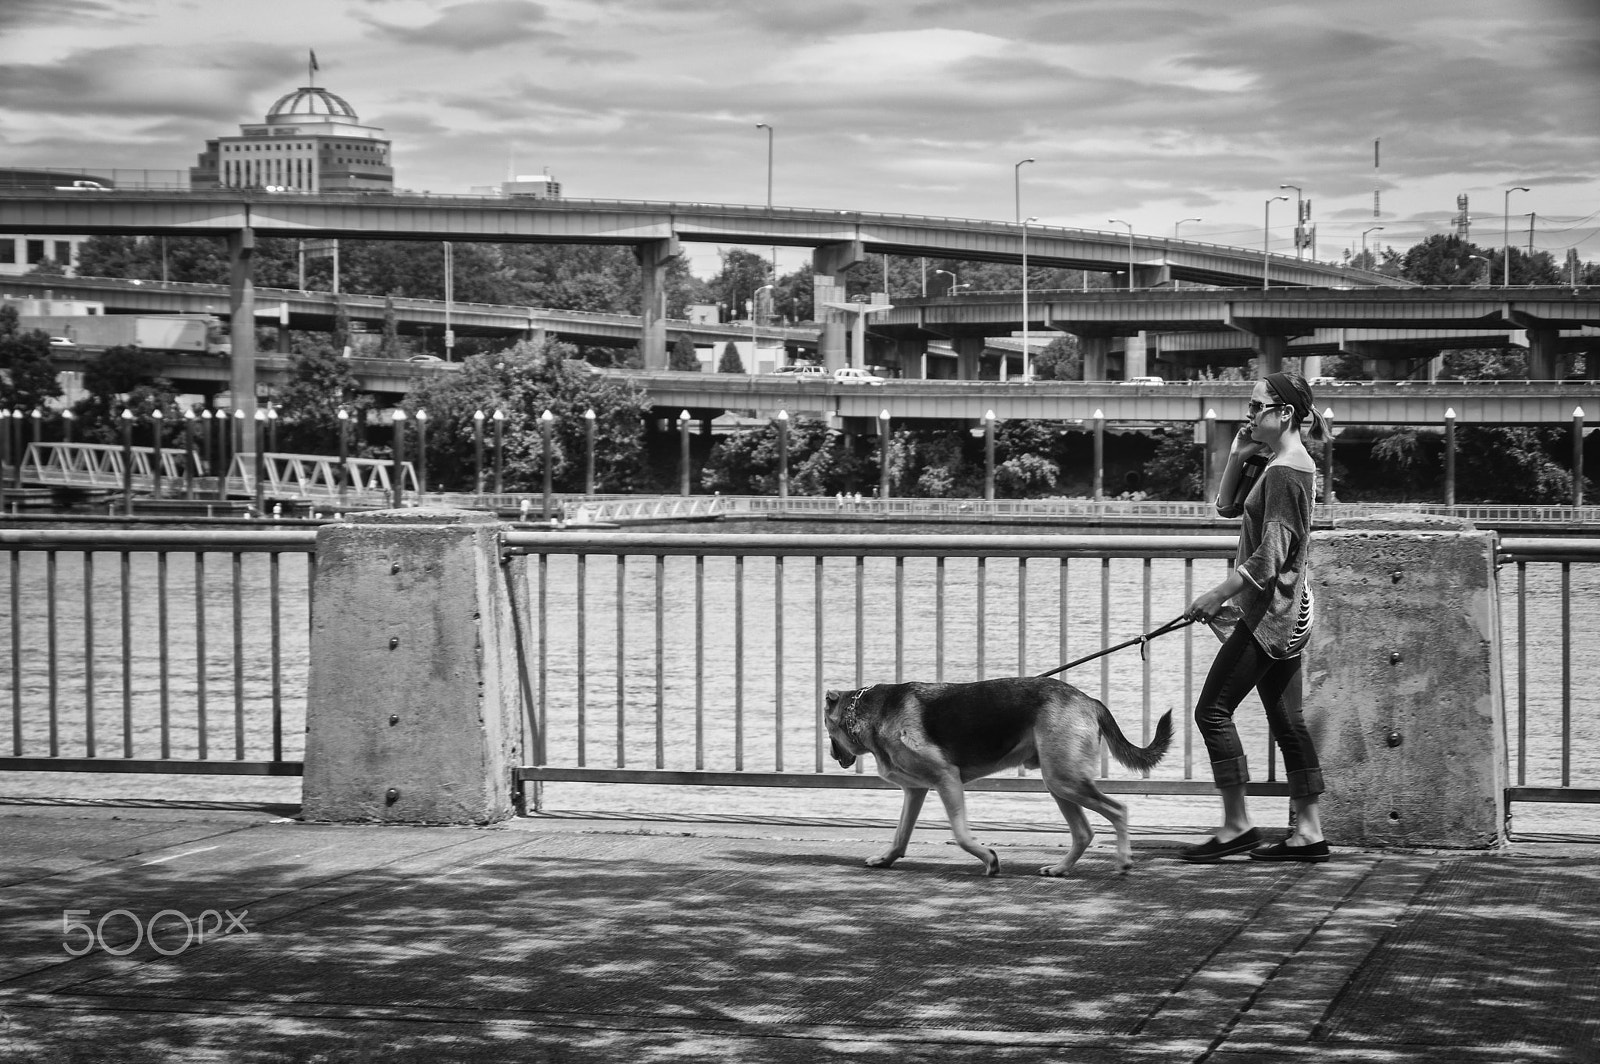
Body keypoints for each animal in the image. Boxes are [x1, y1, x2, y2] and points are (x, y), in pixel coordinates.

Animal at [832, 675, 1171, 876]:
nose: (836, 758)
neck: (868, 710)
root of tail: (1090, 701)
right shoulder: (916, 791)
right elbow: (901, 834)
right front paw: (886, 859)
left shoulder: (947, 779)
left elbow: (961, 836)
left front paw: (989, 859)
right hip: (1058, 781)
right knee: (1084, 832)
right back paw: (1060, 869)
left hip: (1065, 780)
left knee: (1119, 809)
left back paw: (1124, 860)